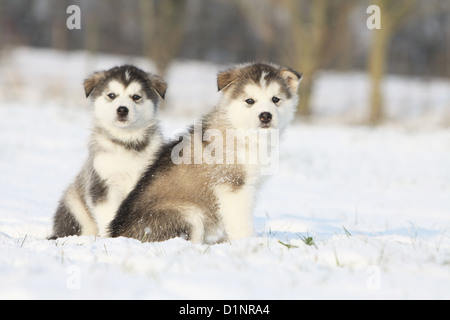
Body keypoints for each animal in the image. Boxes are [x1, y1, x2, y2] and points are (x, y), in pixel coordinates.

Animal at [49, 65, 168, 239]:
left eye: (136, 97)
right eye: (112, 95)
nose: (122, 110)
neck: (126, 143)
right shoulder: (103, 183)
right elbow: (109, 216)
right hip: (74, 206)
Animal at [108, 62, 302, 242]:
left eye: (275, 99)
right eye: (249, 101)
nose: (265, 115)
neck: (242, 131)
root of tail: (118, 233)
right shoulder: (232, 185)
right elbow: (241, 222)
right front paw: (247, 243)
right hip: (188, 213)